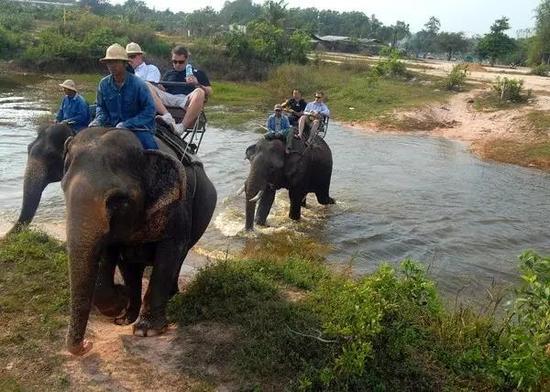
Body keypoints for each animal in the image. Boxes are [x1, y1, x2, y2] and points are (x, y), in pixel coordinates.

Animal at [60, 128, 216, 356]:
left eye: (117, 200)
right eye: (63, 187)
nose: (87, 344)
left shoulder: (179, 208)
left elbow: (170, 252)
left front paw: (147, 331)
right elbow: (115, 258)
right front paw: (123, 314)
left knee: (180, 257)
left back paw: (173, 296)